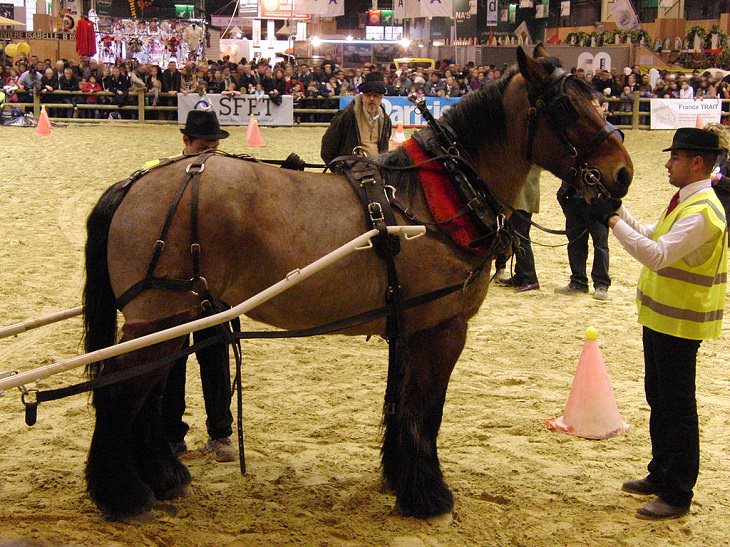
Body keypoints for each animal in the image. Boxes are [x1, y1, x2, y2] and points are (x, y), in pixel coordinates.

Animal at [82, 45, 632, 520]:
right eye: (567, 108)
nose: (622, 174)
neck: (437, 197)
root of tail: (135, 184)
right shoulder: (442, 327)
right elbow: (425, 411)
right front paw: (428, 495)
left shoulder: (407, 326)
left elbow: (401, 404)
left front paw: (399, 476)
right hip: (161, 318)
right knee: (121, 396)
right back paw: (122, 494)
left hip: (174, 319)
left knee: (147, 396)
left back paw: (162, 477)